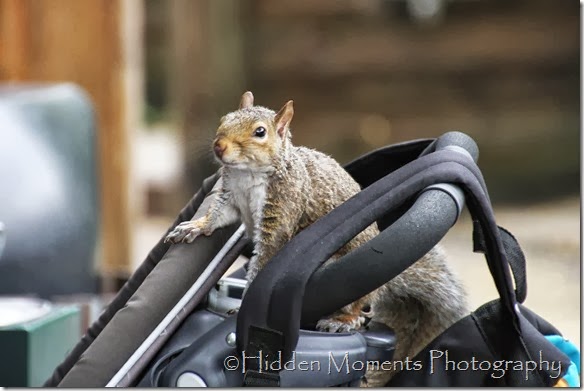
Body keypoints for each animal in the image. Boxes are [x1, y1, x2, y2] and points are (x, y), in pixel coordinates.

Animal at [165, 91, 470, 386]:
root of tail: (383, 286)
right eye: (225, 119)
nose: (219, 146)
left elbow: (264, 260)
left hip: (344, 275)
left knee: (359, 307)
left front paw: (242, 306)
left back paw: (344, 319)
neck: (248, 175)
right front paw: (194, 227)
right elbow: (216, 216)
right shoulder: (230, 198)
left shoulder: (282, 213)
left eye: (260, 132)